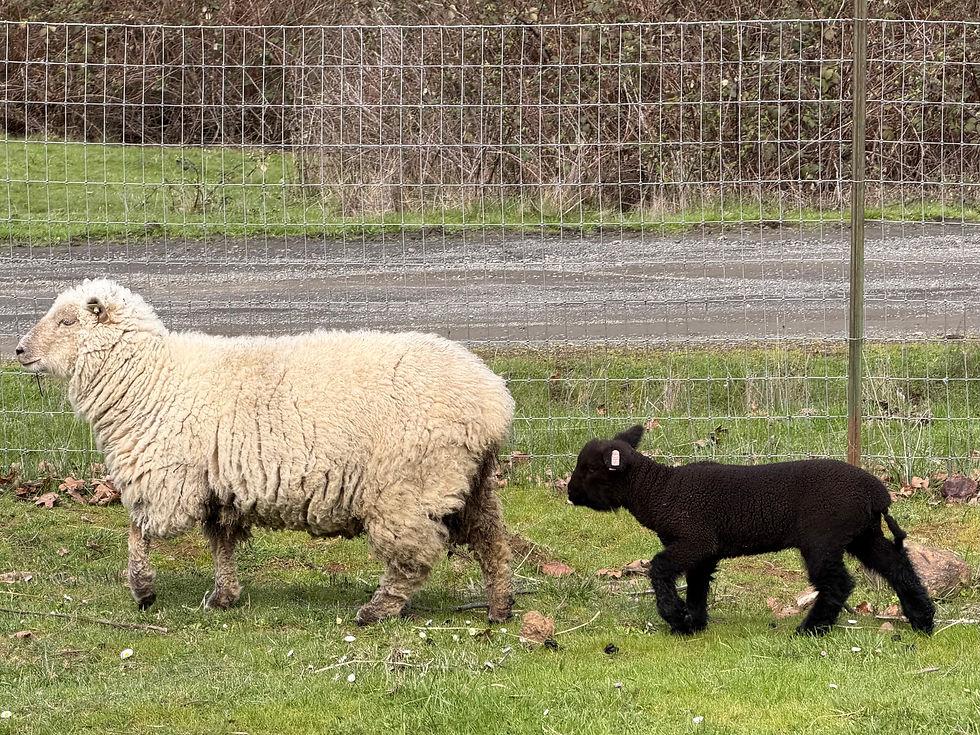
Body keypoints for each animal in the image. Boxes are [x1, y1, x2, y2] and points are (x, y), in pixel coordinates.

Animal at [16, 279, 515, 625]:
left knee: (414, 558)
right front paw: (223, 596)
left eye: (66, 321)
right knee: (492, 540)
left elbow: (137, 532)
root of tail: (494, 399)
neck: (150, 378)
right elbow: (220, 545)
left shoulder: (167, 480)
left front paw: (143, 591)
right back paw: (500, 606)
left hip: (407, 486)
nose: (18, 350)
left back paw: (377, 610)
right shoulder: (216, 487)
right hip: (466, 479)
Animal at [567, 425, 935, 636]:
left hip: (823, 536)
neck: (659, 491)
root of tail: (878, 493)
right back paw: (923, 620)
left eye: (589, 469)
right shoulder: (705, 550)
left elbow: (659, 568)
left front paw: (675, 617)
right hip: (862, 533)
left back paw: (811, 630)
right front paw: (694, 624)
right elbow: (698, 585)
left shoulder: (695, 539)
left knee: (838, 583)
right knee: (897, 567)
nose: (569, 493)